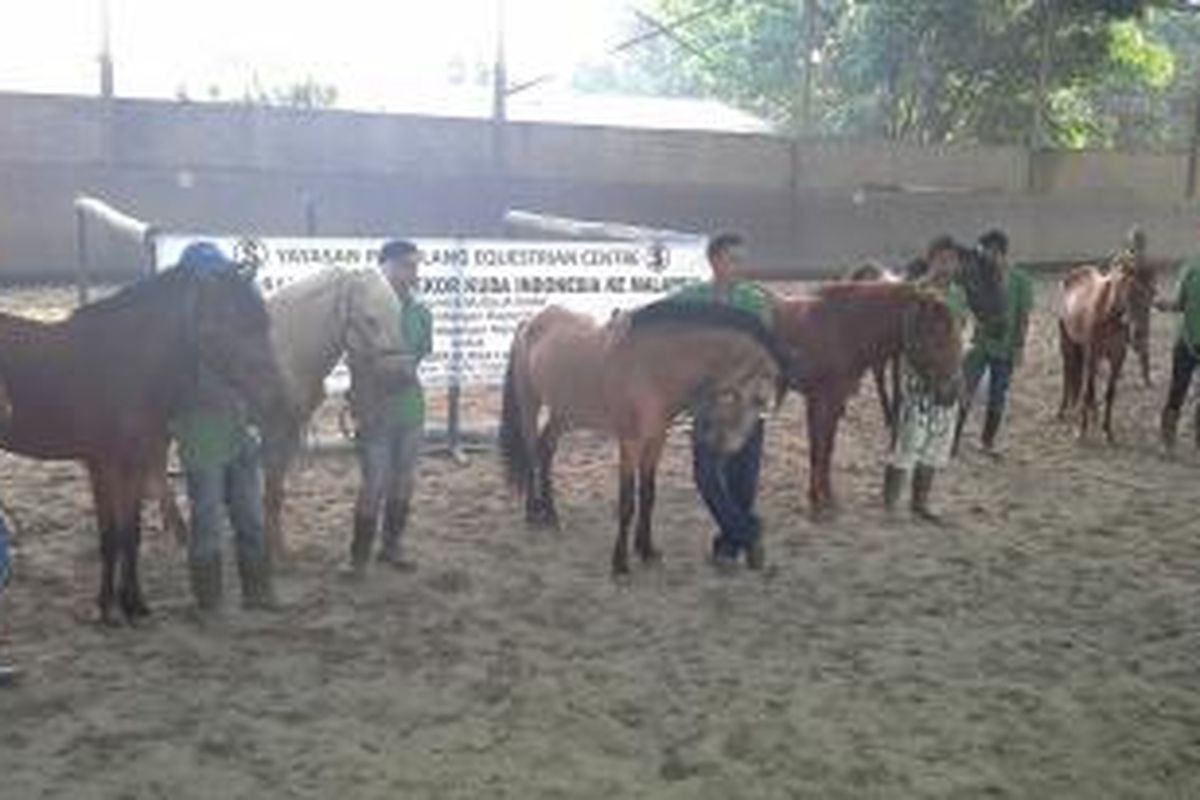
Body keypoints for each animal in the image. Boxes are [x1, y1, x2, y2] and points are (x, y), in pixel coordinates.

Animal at [0, 263, 288, 623]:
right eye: (224, 323)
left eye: (263, 323)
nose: (276, 397)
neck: (124, 365)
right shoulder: (104, 465)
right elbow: (110, 535)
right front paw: (106, 608)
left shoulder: (135, 462)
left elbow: (130, 533)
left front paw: (134, 604)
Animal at [496, 299, 787, 575]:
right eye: (752, 398)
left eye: (762, 402)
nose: (726, 447)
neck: (652, 368)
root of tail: (530, 321)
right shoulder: (630, 443)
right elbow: (627, 503)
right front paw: (620, 563)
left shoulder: (656, 440)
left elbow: (648, 496)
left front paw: (646, 550)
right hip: (530, 404)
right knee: (532, 454)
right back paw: (532, 514)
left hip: (564, 412)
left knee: (546, 451)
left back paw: (552, 516)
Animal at [777, 284, 964, 515]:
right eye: (936, 335)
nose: (953, 392)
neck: (839, 330)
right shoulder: (822, 400)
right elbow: (819, 449)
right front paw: (819, 500)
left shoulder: (828, 402)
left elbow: (825, 448)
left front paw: (822, 496)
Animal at [1060, 250, 1152, 441]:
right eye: (1130, 293)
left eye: (1151, 295)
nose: (1139, 337)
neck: (1107, 314)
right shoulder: (1092, 353)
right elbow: (1086, 391)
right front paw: (1081, 431)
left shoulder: (1118, 357)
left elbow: (1110, 393)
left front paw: (1107, 430)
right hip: (1068, 344)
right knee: (1068, 373)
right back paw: (1063, 410)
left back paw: (1093, 414)